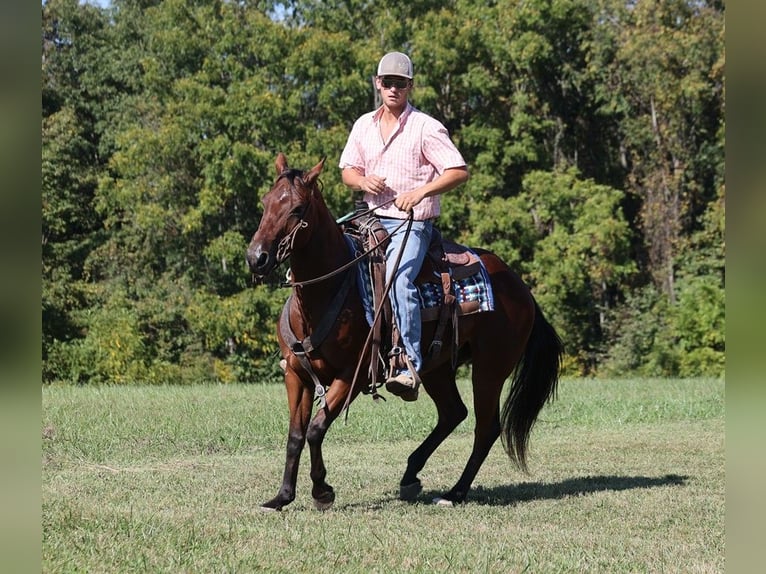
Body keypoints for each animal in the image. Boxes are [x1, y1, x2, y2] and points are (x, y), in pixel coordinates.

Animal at [246, 151, 564, 510]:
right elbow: (295, 435)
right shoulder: (296, 374)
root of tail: (521, 289)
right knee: (453, 413)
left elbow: (316, 428)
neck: (328, 290)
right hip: (438, 367)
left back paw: (454, 493)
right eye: (266, 202)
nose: (256, 257)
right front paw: (282, 496)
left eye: (298, 209)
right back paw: (411, 474)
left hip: (490, 368)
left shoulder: (352, 375)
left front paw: (322, 491)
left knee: (485, 428)